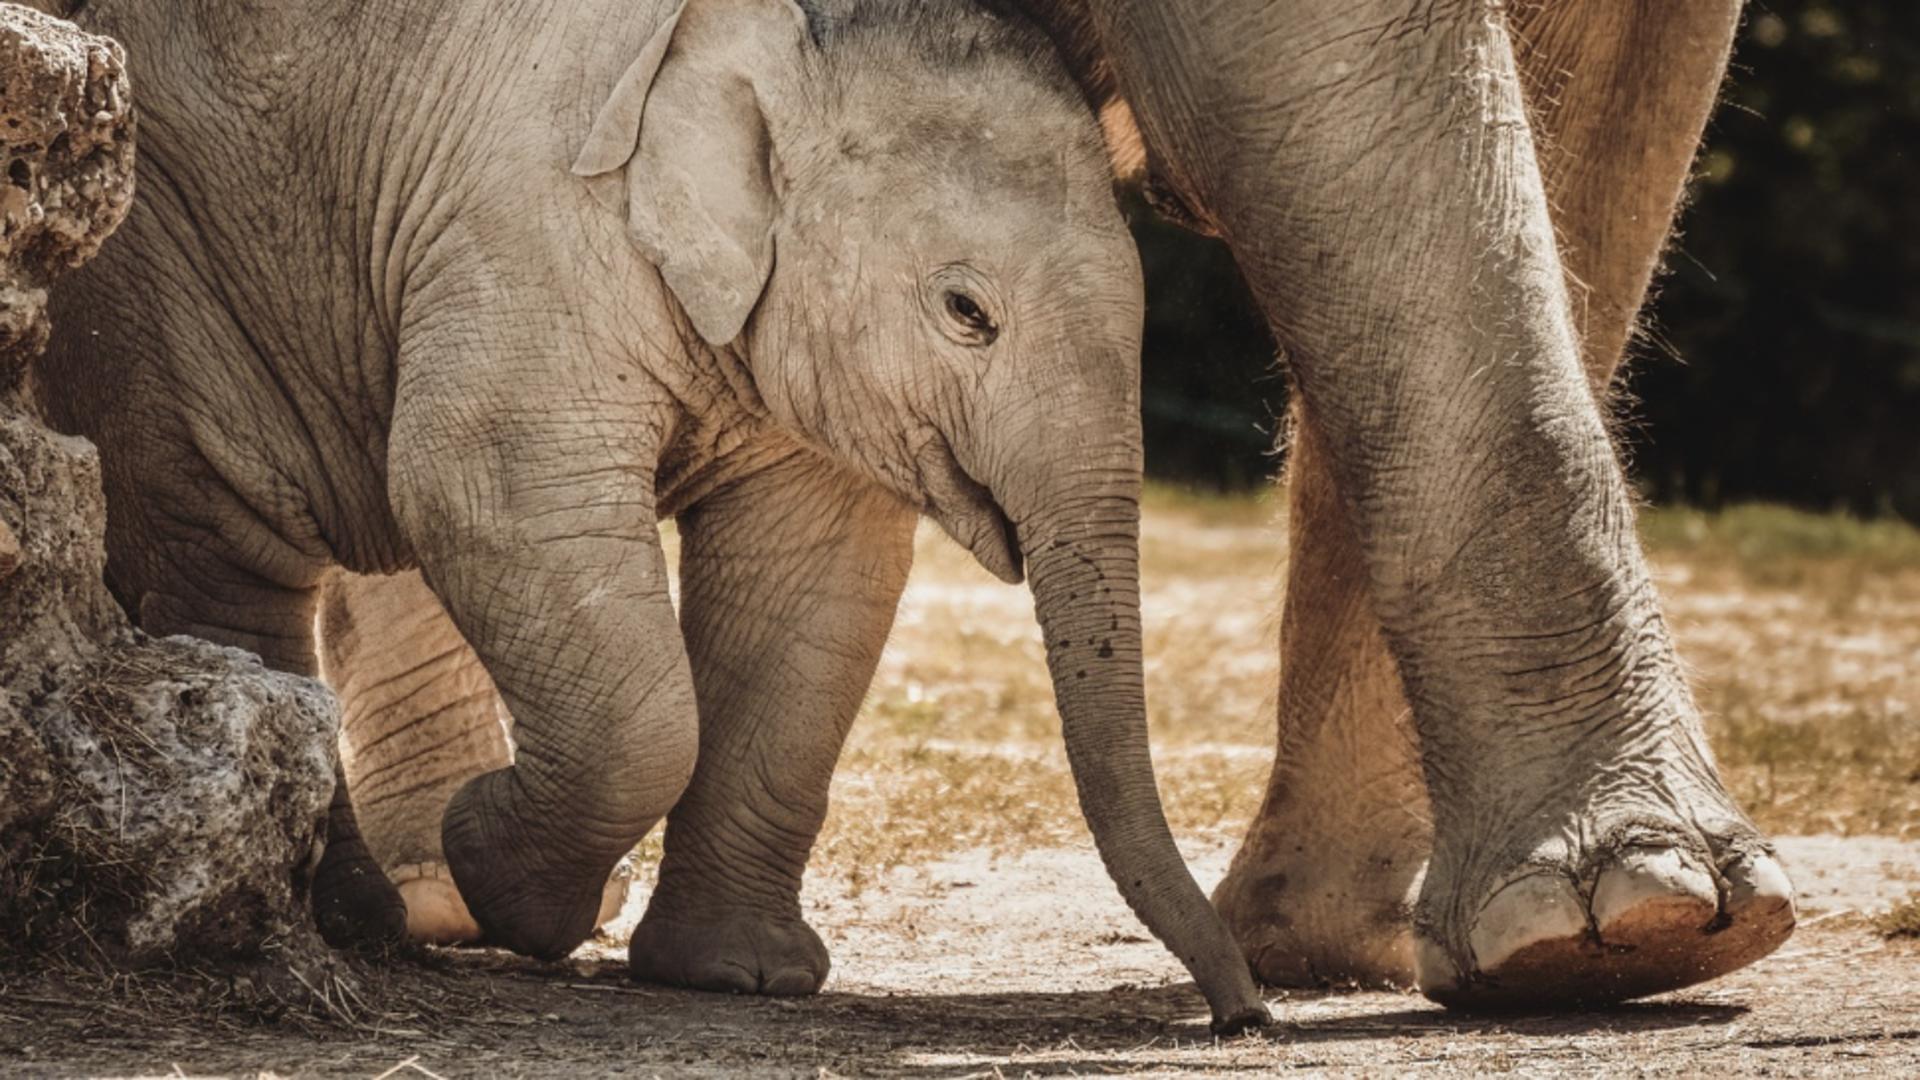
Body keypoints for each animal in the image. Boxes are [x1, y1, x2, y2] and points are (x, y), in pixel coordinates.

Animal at [37, 0, 1267, 1030]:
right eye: (967, 311)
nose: (1242, 1016)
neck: (789, 44)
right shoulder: (528, 235)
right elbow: (482, 493)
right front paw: (507, 881)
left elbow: (813, 575)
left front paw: (739, 976)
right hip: (166, 258)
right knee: (223, 556)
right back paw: (357, 920)